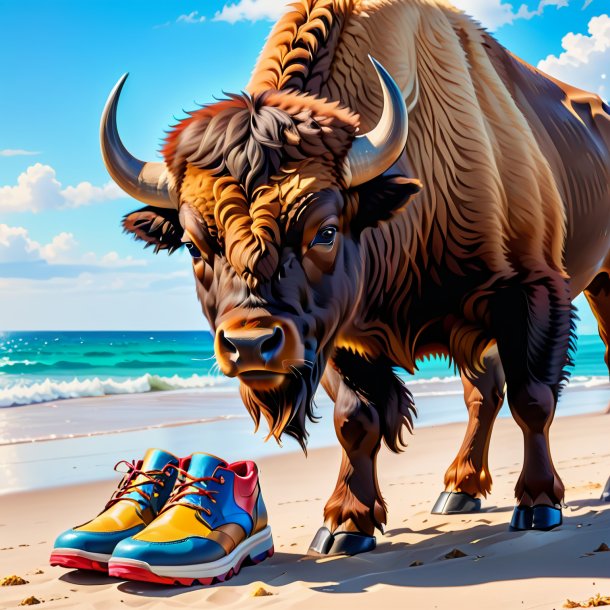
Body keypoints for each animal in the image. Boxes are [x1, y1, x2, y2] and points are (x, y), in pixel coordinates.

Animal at [100, 0, 608, 552]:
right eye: (194, 245)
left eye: (324, 231)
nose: (251, 345)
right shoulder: (338, 337)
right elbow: (356, 419)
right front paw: (346, 523)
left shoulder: (531, 292)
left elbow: (532, 399)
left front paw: (539, 503)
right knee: (483, 393)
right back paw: (458, 490)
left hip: (601, 284)